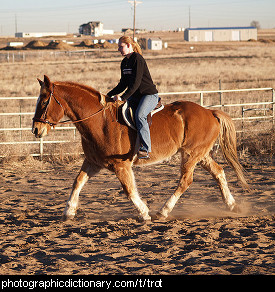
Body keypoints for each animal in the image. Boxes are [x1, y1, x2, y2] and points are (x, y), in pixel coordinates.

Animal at [32, 74, 250, 221]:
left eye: (44, 101)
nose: (36, 129)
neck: (100, 121)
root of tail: (209, 112)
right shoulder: (93, 162)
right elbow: (77, 182)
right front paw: (68, 211)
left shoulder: (121, 166)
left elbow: (129, 190)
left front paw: (144, 213)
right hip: (201, 155)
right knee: (218, 172)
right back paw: (232, 205)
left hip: (191, 155)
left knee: (186, 181)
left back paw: (163, 211)